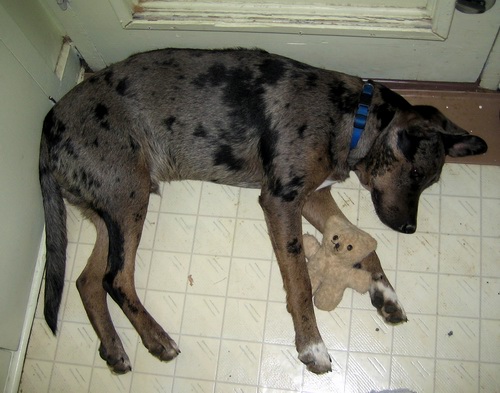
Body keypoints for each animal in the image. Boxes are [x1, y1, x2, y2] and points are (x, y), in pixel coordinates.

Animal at [40, 47, 488, 372]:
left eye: (430, 182)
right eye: (415, 174)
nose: (410, 229)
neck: (349, 115)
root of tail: (49, 124)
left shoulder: (313, 195)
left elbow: (362, 240)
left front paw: (384, 291)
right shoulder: (282, 199)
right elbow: (301, 282)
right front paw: (312, 344)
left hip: (113, 207)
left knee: (88, 281)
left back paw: (114, 349)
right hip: (130, 198)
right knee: (116, 279)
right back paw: (156, 339)